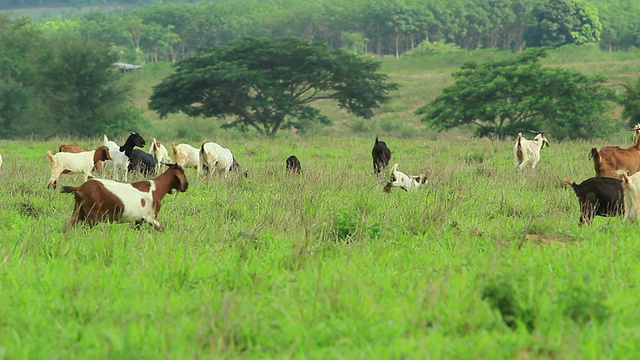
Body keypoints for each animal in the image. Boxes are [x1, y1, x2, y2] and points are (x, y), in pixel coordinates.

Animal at [60, 163, 189, 231]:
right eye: (182, 173)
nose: (186, 186)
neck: (156, 188)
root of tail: (79, 189)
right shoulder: (151, 217)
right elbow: (162, 229)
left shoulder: (139, 220)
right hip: (92, 215)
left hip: (78, 212)